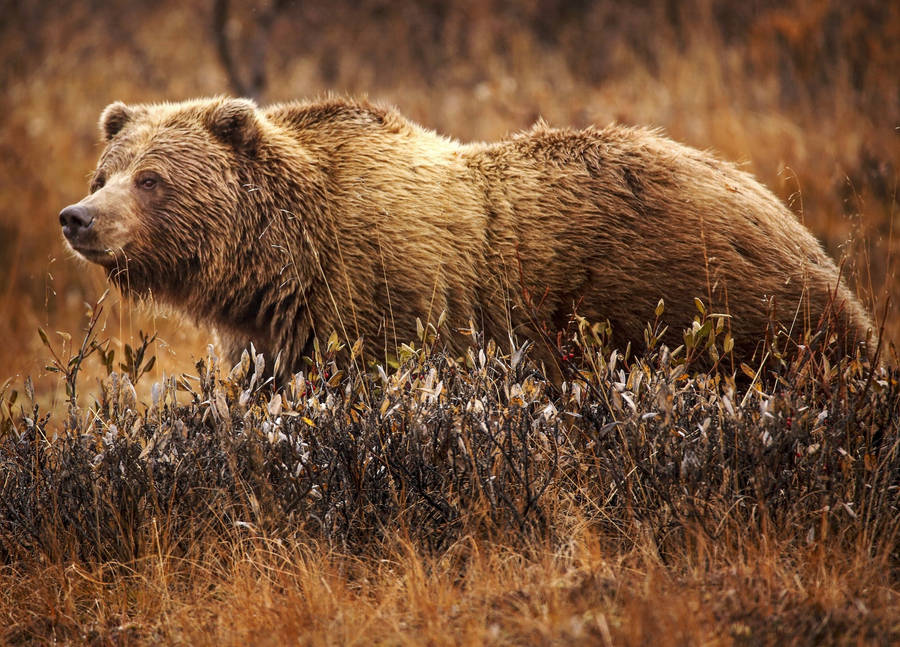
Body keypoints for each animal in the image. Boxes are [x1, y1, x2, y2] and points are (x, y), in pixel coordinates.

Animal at [59, 96, 874, 376]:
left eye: (152, 179)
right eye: (106, 171)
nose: (78, 217)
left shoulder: (385, 298)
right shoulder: (275, 334)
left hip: (712, 304)